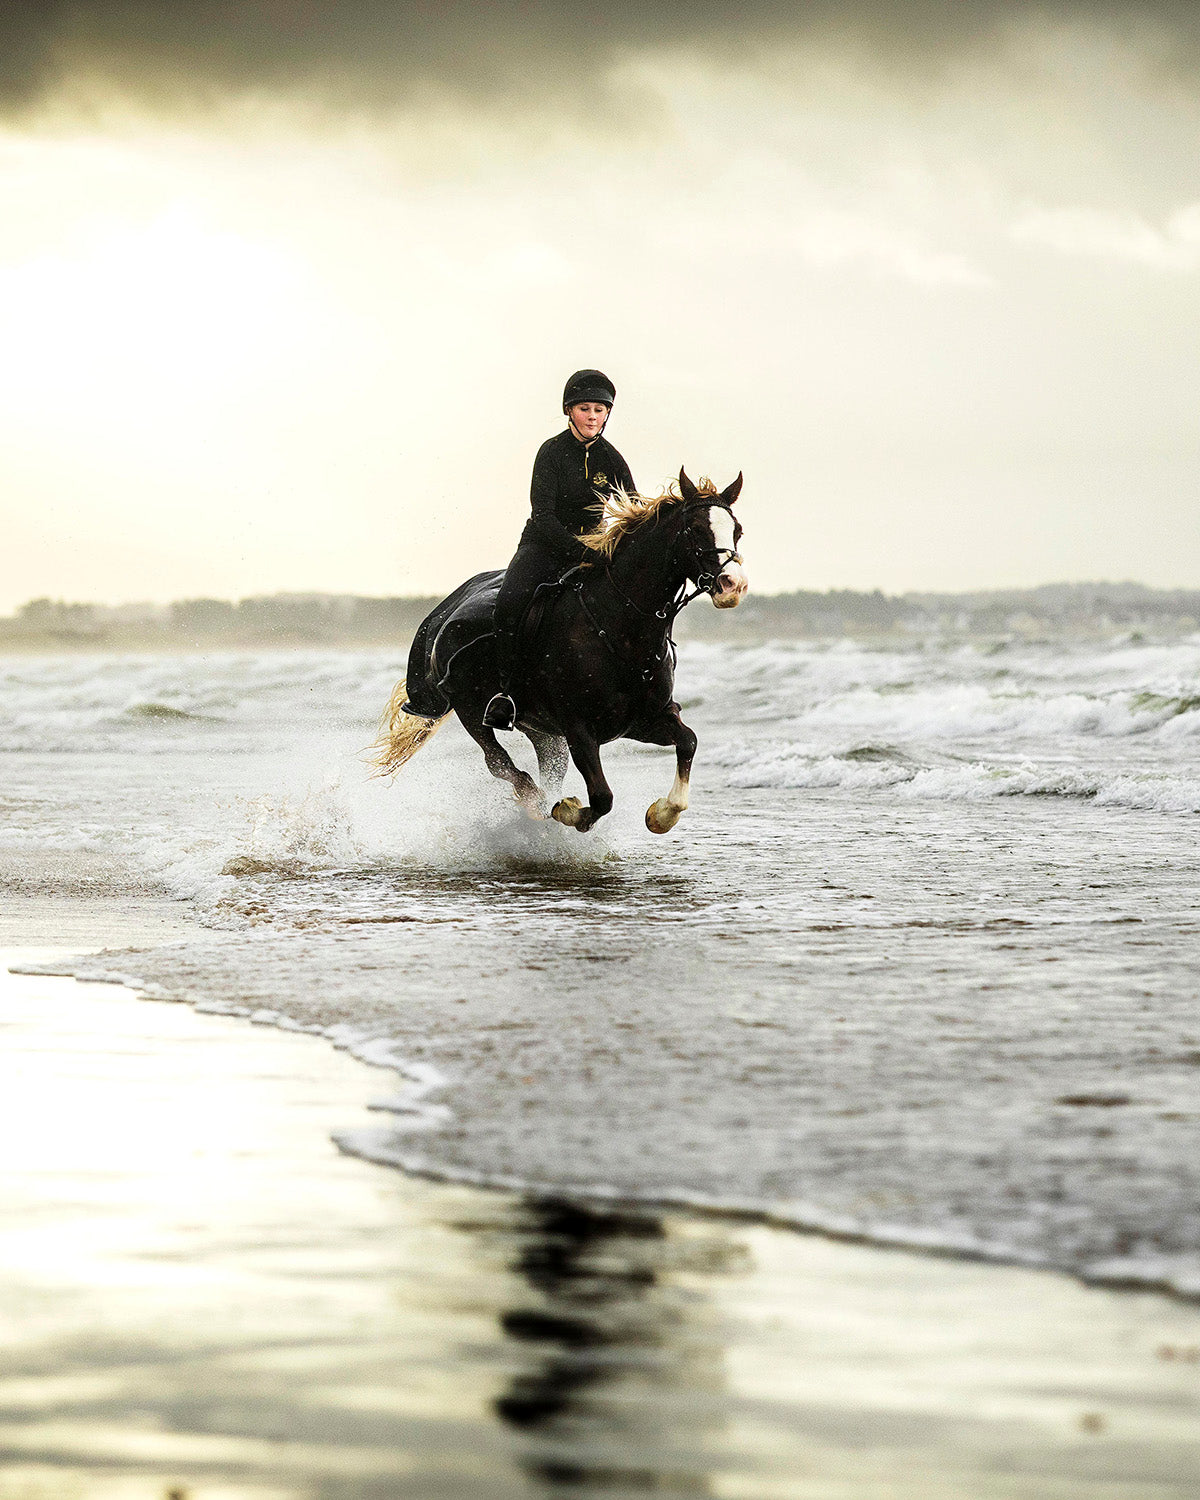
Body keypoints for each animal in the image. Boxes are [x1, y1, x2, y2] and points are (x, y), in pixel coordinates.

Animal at [374, 469, 747, 834]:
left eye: (737, 531)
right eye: (695, 529)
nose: (734, 585)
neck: (620, 628)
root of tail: (444, 613)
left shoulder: (645, 720)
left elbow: (688, 741)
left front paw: (663, 813)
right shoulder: (579, 729)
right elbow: (601, 797)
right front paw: (568, 811)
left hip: (540, 729)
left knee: (547, 767)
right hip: (470, 709)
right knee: (499, 762)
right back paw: (535, 803)